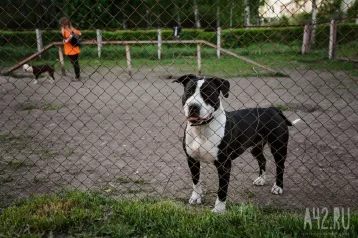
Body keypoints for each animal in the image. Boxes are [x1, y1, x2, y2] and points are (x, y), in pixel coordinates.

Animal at [173, 74, 300, 212]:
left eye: (208, 92)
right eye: (189, 91)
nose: (193, 106)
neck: (202, 129)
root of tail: (272, 109)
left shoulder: (224, 165)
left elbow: (222, 190)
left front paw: (219, 210)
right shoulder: (192, 159)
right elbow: (196, 181)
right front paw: (196, 197)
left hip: (278, 147)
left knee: (280, 166)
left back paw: (278, 187)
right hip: (256, 147)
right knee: (262, 160)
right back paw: (261, 179)